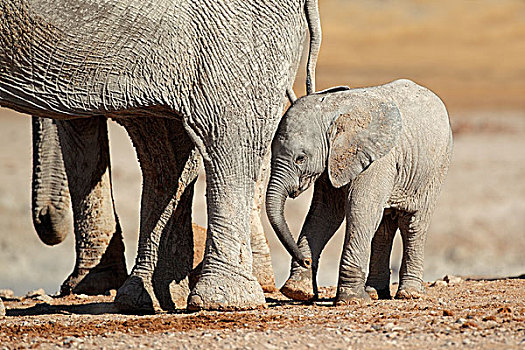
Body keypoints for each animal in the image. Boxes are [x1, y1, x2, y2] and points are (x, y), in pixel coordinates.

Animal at [266, 78, 450, 304]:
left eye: (300, 158)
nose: (306, 261)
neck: (332, 110)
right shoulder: (332, 161)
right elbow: (324, 213)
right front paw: (298, 291)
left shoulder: (378, 159)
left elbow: (359, 209)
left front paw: (351, 299)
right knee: (383, 227)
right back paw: (375, 292)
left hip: (434, 170)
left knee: (413, 224)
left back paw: (409, 294)